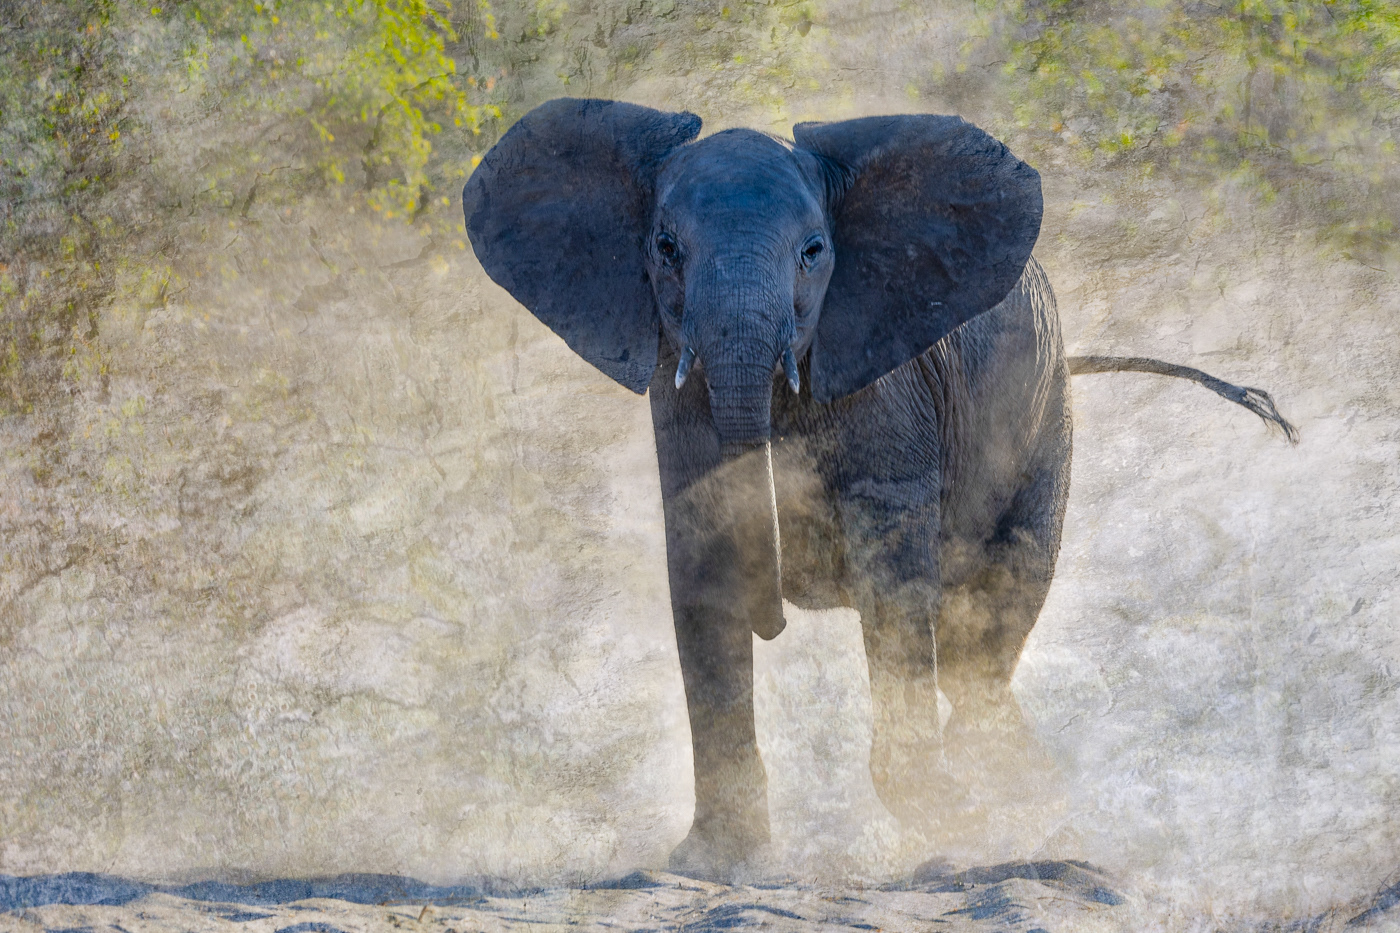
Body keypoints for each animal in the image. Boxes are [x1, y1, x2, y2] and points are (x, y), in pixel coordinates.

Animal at [461, 98, 1296, 878]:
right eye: (665, 249)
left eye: (814, 252)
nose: (775, 613)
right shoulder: (679, 381)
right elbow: (703, 558)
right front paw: (713, 865)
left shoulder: (885, 378)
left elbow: (892, 572)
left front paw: (948, 820)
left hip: (1044, 425)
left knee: (977, 634)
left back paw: (1016, 803)